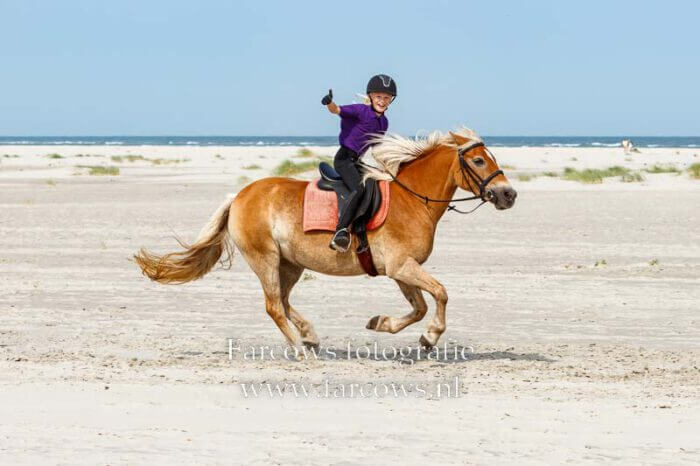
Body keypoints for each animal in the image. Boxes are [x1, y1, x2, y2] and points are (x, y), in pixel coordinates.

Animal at [135, 126, 516, 350]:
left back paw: (310, 336)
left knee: (283, 300)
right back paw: (299, 349)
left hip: (291, 264)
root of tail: (240, 195)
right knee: (274, 305)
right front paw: (431, 336)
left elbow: (420, 306)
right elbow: (441, 293)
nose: (508, 195)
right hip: (265, 258)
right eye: (479, 161)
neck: (412, 200)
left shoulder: (400, 270)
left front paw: (384, 324)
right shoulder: (401, 266)